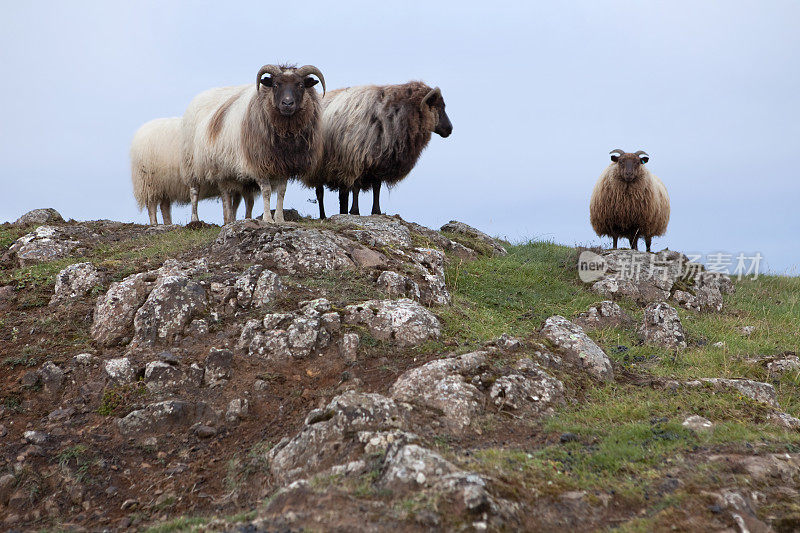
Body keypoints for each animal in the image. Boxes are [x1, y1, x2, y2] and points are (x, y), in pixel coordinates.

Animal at [181, 63, 324, 223]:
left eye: (300, 85)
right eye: (275, 85)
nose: (287, 103)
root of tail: (198, 97)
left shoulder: (284, 164)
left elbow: (281, 192)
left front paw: (279, 218)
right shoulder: (259, 162)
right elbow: (266, 191)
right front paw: (268, 219)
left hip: (224, 168)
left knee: (227, 194)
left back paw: (231, 220)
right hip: (191, 163)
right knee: (195, 191)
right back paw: (195, 220)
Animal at [300, 81, 450, 218]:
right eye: (438, 106)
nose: (450, 129)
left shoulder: (378, 162)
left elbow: (376, 188)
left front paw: (376, 211)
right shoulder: (356, 158)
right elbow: (356, 187)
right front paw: (355, 211)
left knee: (343, 195)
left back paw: (342, 212)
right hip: (318, 168)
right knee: (320, 193)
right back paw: (323, 216)